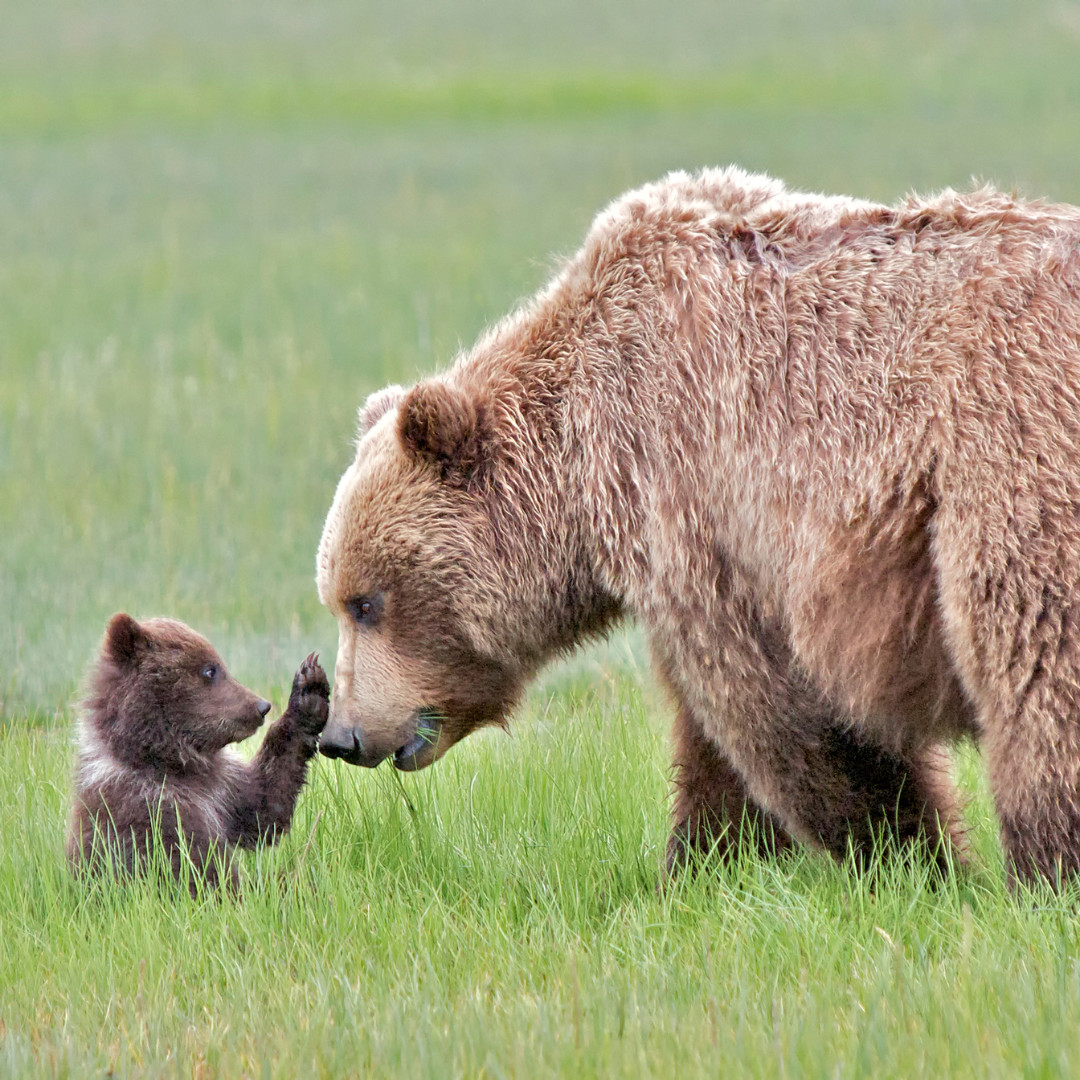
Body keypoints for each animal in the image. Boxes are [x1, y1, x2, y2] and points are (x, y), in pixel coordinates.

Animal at [315, 162, 1080, 885]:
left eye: (367, 602)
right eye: (339, 600)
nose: (340, 736)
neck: (578, 468)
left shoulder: (693, 492)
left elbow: (779, 705)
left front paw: (912, 858)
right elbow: (717, 752)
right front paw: (703, 864)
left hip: (1006, 454)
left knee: (1034, 657)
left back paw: (1045, 867)